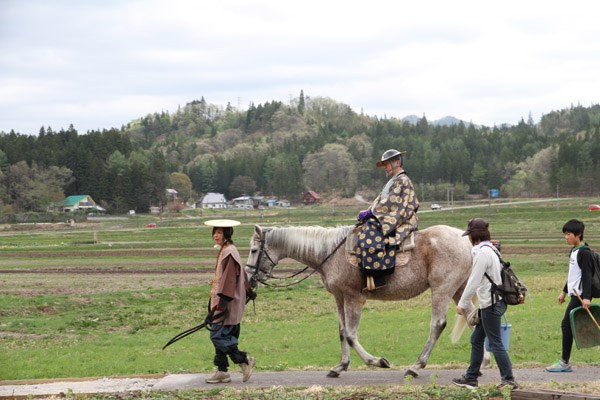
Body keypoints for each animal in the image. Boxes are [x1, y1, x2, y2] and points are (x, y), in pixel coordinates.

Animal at [246, 225, 490, 378]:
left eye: (254, 250)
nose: (249, 278)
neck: (330, 253)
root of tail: (466, 242)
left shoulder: (353, 298)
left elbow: (351, 335)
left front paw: (378, 361)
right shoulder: (339, 297)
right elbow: (342, 332)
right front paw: (340, 366)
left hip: (442, 288)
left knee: (438, 324)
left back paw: (415, 367)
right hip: (460, 288)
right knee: (471, 316)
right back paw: (482, 363)